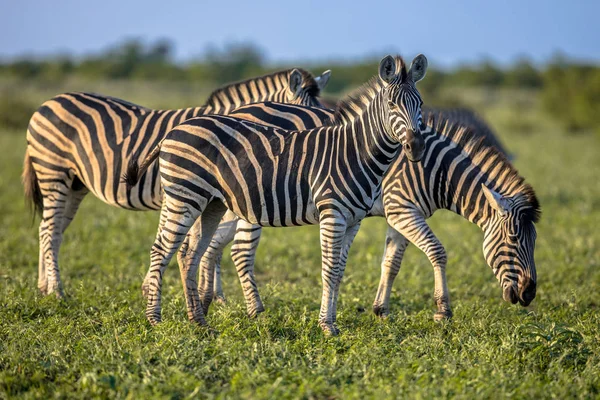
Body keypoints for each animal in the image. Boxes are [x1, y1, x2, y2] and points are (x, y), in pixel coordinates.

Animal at [23, 67, 330, 296]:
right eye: (308, 116)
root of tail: (47, 102)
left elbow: (207, 244)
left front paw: (210, 295)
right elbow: (201, 244)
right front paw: (207, 294)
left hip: (76, 184)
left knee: (50, 229)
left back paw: (44, 287)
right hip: (53, 173)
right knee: (49, 229)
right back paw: (57, 290)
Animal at [125, 53, 426, 334]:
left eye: (420, 105)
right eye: (392, 105)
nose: (415, 147)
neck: (355, 152)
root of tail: (172, 131)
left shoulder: (354, 221)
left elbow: (340, 271)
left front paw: (332, 321)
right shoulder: (333, 214)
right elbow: (329, 269)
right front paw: (327, 325)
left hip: (210, 202)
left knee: (189, 253)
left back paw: (199, 321)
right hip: (185, 195)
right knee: (162, 250)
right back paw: (155, 319)